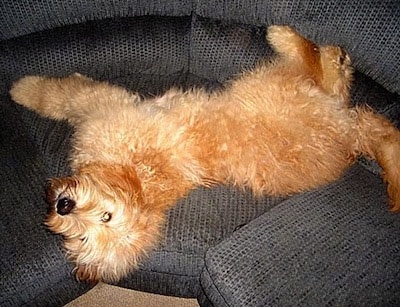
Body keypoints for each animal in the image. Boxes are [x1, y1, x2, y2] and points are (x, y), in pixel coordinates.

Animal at [9, 25, 400, 284]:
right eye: (83, 238)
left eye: (105, 218)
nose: (63, 205)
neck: (141, 175)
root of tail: (349, 141)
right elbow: (63, 95)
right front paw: (22, 89)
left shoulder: (104, 106)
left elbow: (61, 94)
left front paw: (21, 89)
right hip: (304, 98)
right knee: (339, 86)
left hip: (272, 89)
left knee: (316, 63)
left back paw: (286, 37)